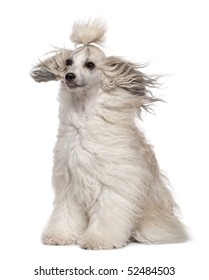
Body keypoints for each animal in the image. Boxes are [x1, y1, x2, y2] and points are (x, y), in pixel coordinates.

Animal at [29, 19, 188, 249]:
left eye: (90, 65)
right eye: (68, 62)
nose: (69, 76)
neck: (84, 117)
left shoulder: (111, 185)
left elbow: (107, 217)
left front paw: (98, 240)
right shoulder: (69, 185)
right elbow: (66, 214)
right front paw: (61, 235)